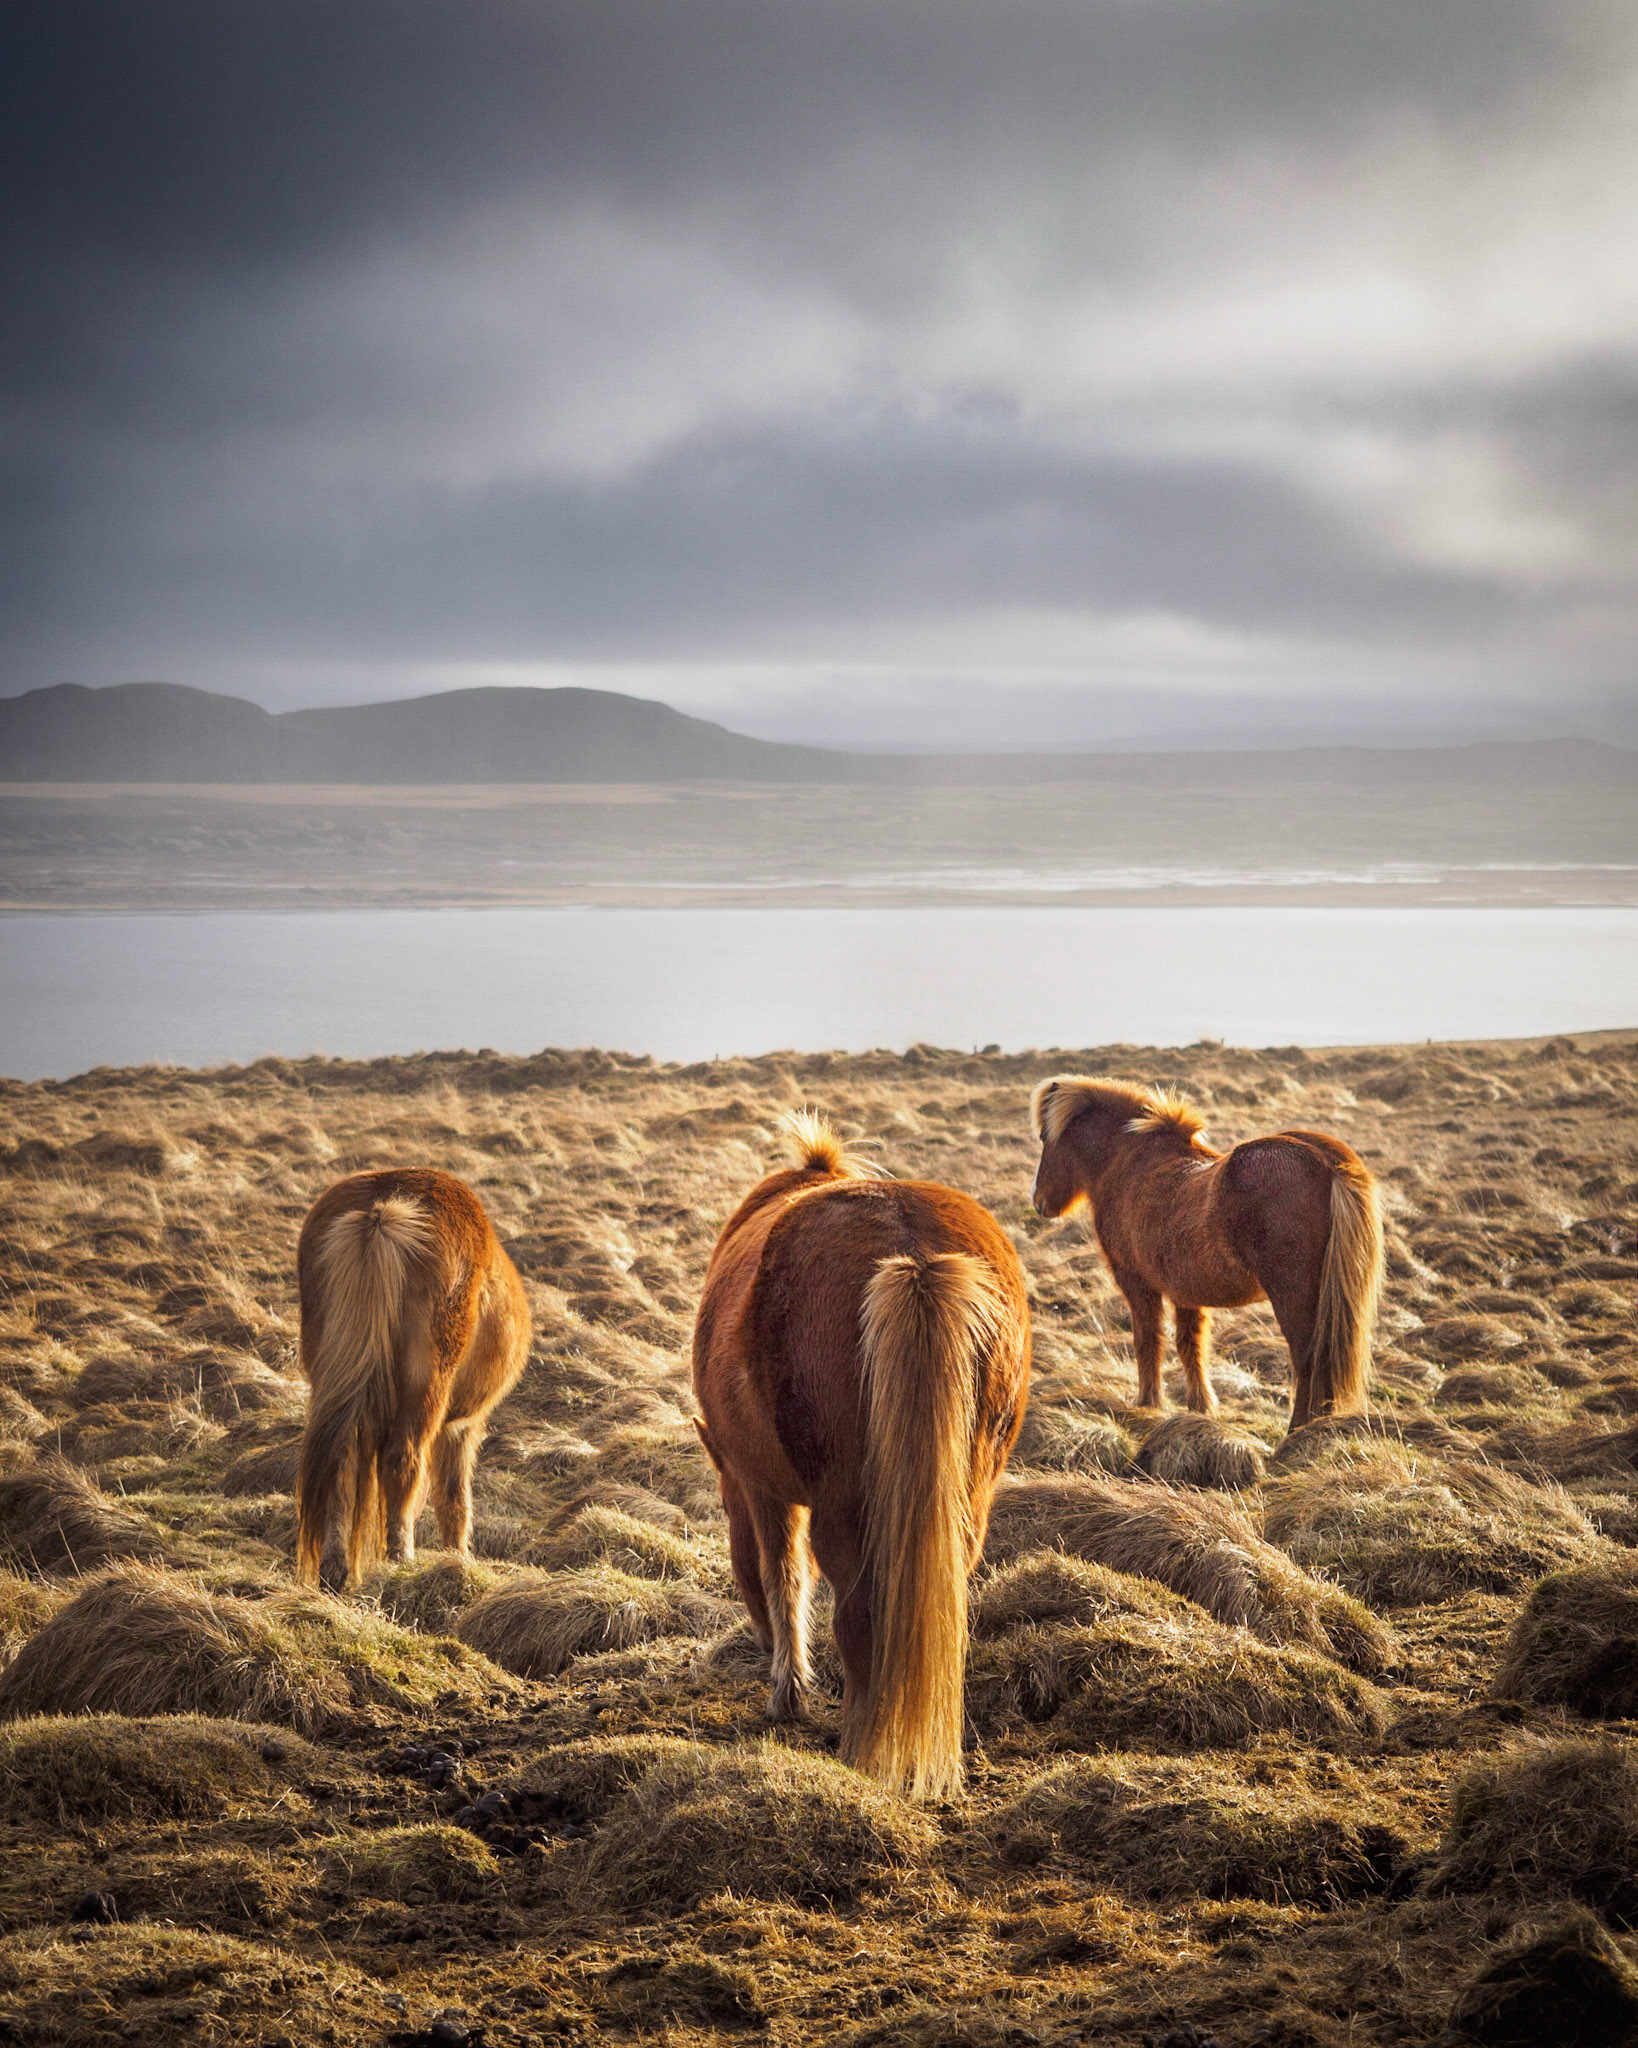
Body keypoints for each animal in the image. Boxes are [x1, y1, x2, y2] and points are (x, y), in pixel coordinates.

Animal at [294, 1168, 530, 1588]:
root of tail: (381, 1213)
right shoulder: (462, 1426)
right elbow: (454, 1497)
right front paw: (458, 1560)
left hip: (331, 1377)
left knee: (341, 1458)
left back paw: (335, 1569)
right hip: (428, 1385)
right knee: (404, 1458)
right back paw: (401, 1559)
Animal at [692, 1112, 1031, 1802]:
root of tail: (915, 1257)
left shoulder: (760, 1488)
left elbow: (781, 1574)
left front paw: (788, 1692)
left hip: (848, 1508)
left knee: (858, 1615)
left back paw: (861, 1751)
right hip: (965, 1495)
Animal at [1029, 1077, 1382, 1431]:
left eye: (1046, 1138)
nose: (1039, 1201)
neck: (1127, 1162)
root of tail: (1328, 1162)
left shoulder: (1136, 1282)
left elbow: (1148, 1339)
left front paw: (1148, 1404)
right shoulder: (1185, 1292)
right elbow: (1191, 1345)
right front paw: (1200, 1407)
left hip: (1293, 1296)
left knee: (1308, 1357)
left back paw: (1296, 1431)